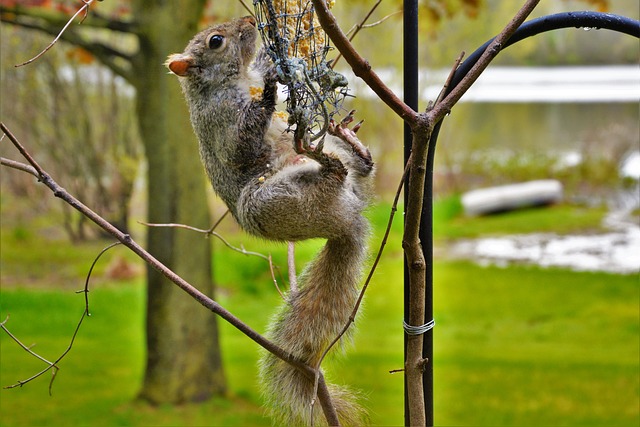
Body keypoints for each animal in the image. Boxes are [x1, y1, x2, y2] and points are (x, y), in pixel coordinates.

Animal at [166, 15, 376, 426]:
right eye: (216, 41)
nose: (249, 20)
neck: (230, 81)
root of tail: (346, 221)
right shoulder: (222, 124)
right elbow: (243, 143)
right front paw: (266, 86)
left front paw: (269, 61)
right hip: (271, 200)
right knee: (337, 174)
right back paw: (325, 162)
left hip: (331, 171)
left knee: (359, 169)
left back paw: (350, 143)